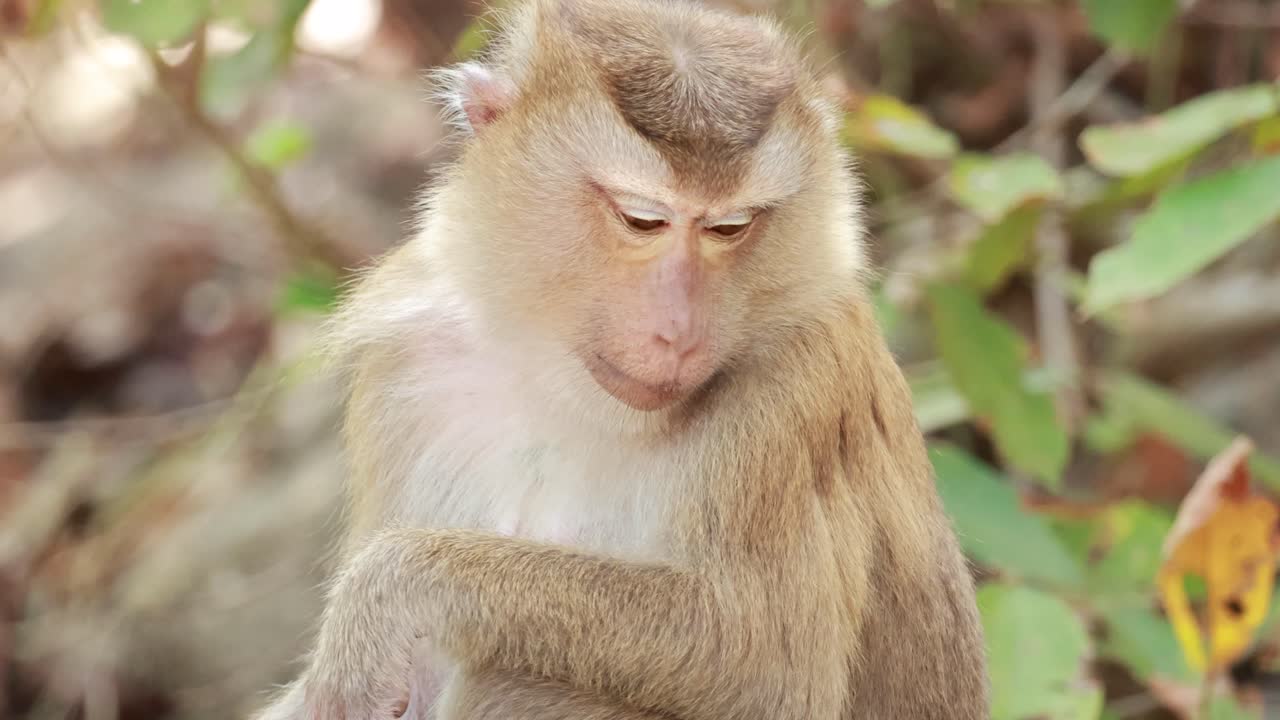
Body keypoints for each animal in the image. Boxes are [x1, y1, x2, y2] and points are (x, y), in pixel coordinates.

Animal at [254, 0, 989, 718]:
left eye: (729, 227)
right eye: (642, 219)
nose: (679, 333)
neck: (560, 388)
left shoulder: (802, 377)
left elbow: (767, 665)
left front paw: (392, 591)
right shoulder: (406, 373)